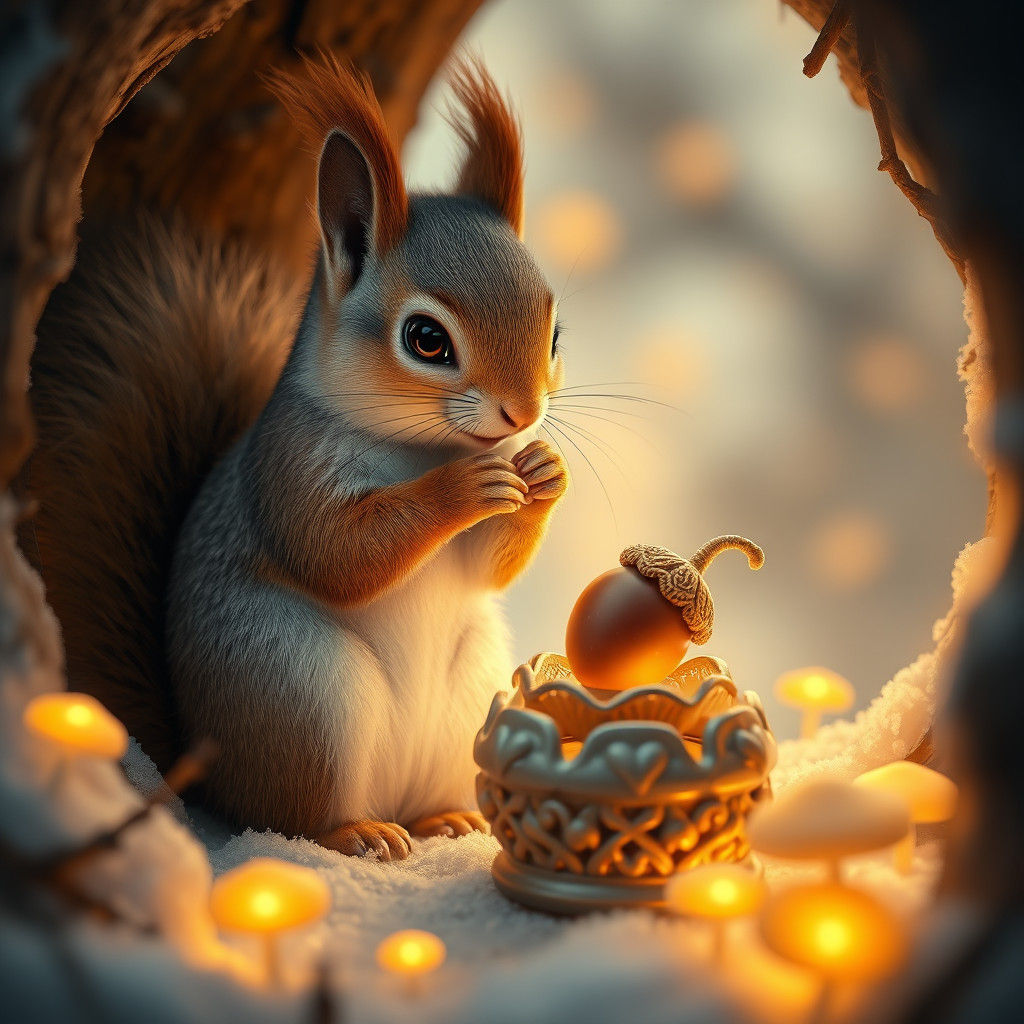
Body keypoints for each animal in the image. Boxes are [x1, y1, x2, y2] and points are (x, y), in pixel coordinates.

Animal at [22, 55, 568, 860]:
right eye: (427, 340)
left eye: (555, 333)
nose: (523, 415)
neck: (420, 446)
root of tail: (208, 774)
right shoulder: (290, 468)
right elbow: (339, 554)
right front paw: (463, 488)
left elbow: (483, 568)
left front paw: (545, 473)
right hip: (305, 694)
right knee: (295, 820)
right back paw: (359, 833)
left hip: (469, 693)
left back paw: (447, 820)